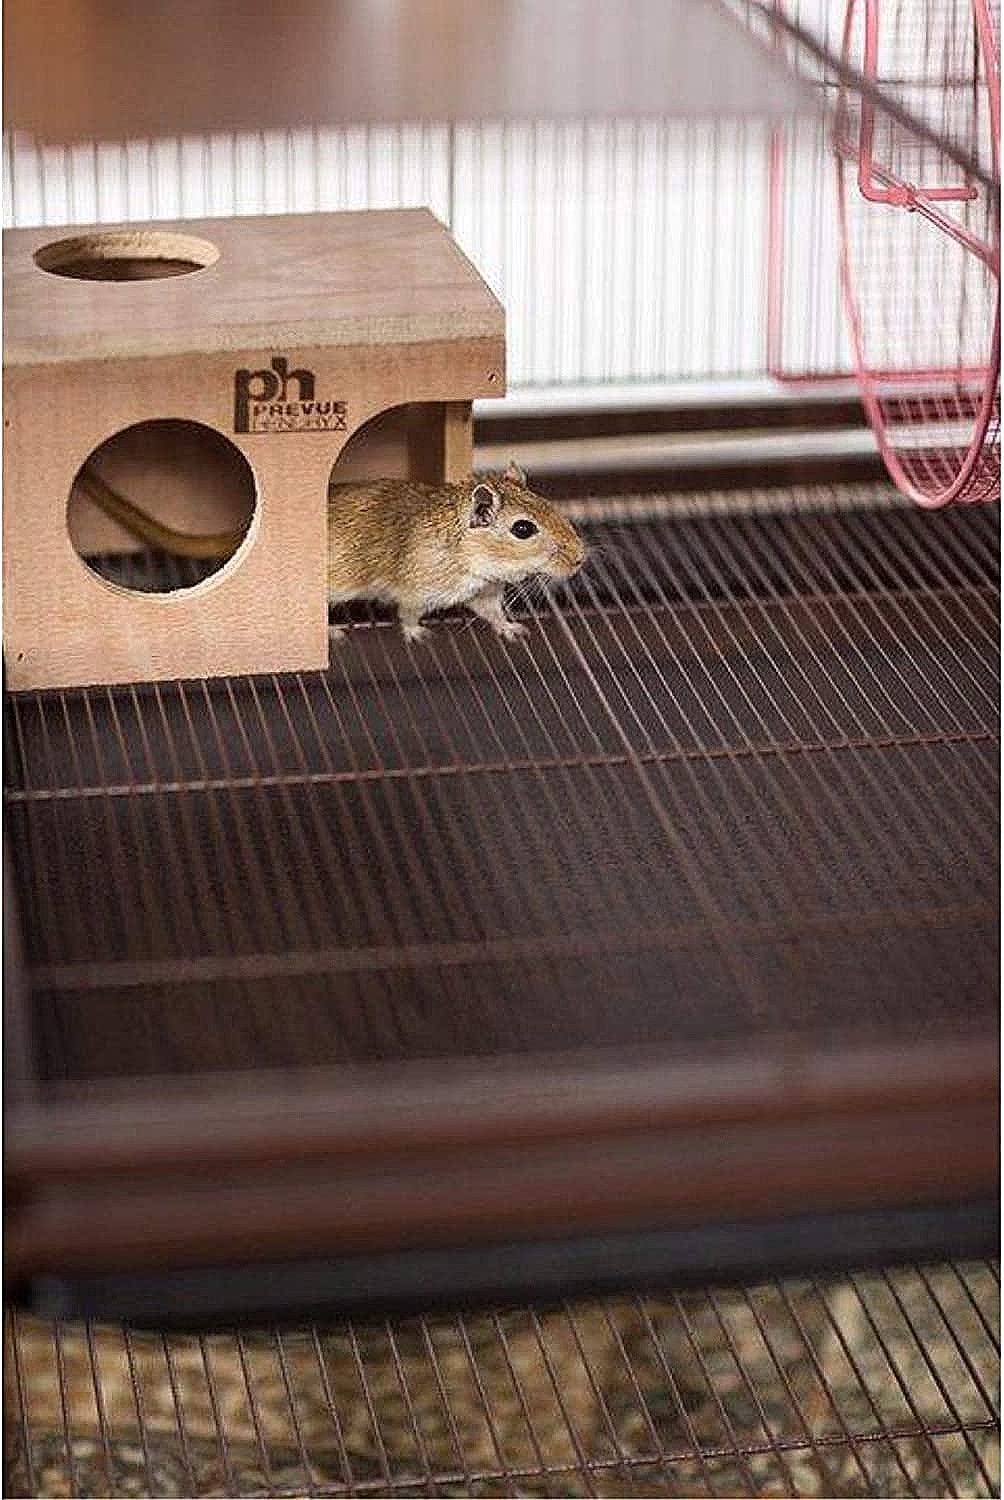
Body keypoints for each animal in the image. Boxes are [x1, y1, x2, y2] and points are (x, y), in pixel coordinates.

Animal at [76, 459, 586, 642]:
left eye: (551, 506)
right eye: (523, 529)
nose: (580, 558)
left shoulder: (481, 590)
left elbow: (492, 611)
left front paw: (513, 629)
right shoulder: (419, 587)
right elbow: (407, 613)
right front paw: (417, 634)